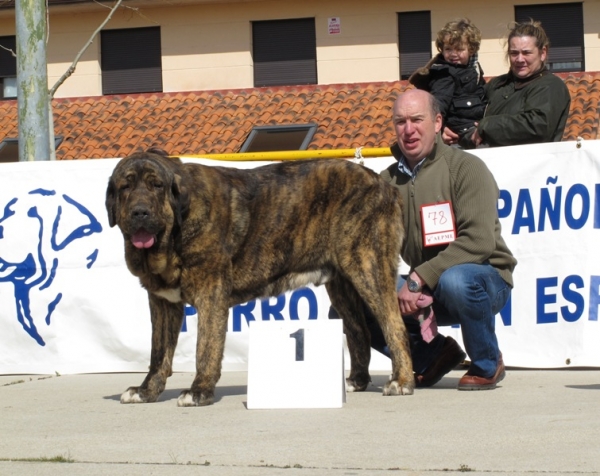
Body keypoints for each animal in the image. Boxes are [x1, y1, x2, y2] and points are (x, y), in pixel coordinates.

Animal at [105, 148, 414, 406]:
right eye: (125, 187)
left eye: (157, 186)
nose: (140, 212)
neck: (172, 236)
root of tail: (384, 185)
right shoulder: (162, 302)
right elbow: (158, 353)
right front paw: (146, 391)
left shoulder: (210, 293)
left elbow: (205, 347)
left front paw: (199, 390)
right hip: (342, 284)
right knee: (359, 330)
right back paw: (356, 381)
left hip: (367, 267)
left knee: (393, 324)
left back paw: (401, 381)